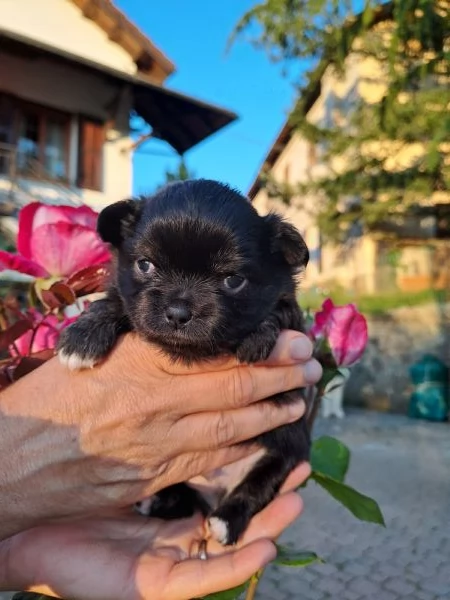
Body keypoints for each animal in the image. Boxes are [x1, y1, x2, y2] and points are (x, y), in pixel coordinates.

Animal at [58, 180, 312, 548]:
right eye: (145, 265)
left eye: (233, 280)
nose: (178, 312)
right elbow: (115, 302)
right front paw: (82, 336)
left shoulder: (294, 319)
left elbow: (280, 311)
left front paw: (258, 335)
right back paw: (156, 502)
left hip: (287, 447)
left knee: (258, 484)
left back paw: (225, 522)